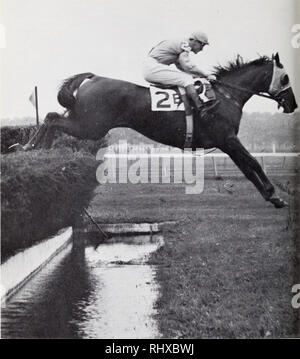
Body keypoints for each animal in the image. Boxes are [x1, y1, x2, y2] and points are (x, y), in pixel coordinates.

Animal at [21, 52, 298, 208]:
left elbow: (249, 169)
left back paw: (32, 147)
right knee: (52, 119)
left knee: (52, 116)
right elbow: (255, 163)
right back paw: (30, 147)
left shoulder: (227, 143)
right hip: (91, 126)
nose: (293, 104)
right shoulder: (228, 138)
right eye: (285, 77)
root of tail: (94, 77)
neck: (225, 95)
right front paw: (275, 195)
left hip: (84, 120)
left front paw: (271, 196)